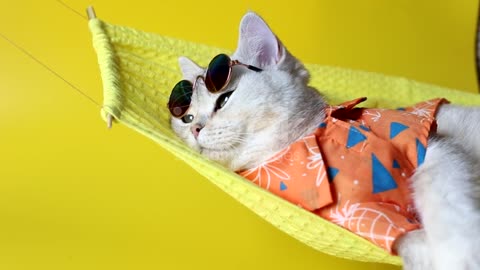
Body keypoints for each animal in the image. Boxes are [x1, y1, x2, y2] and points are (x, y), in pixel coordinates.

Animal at [171, 11, 480, 268]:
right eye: (186, 118)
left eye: (223, 100)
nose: (196, 128)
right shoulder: (365, 218)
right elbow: (411, 243)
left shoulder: (433, 147)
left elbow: (442, 199)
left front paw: (459, 251)